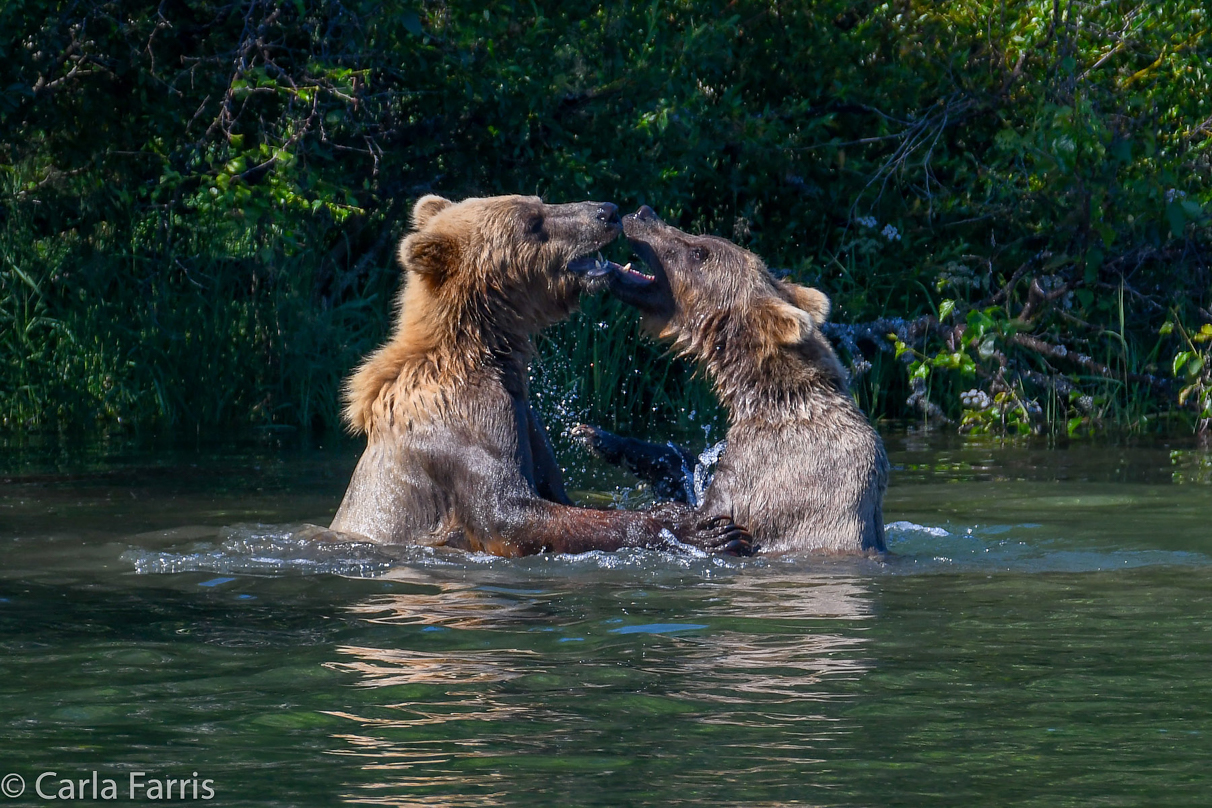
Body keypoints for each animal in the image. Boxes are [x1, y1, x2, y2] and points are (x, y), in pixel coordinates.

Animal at [329, 196, 746, 557]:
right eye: (532, 222)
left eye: (539, 202)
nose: (607, 211)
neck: (482, 347)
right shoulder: (466, 422)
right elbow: (509, 514)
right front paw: (692, 526)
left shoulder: (524, 416)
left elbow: (556, 496)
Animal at [572, 205, 887, 552]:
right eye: (700, 239)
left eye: (699, 251)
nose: (643, 213)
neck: (770, 396)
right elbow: (686, 468)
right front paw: (595, 435)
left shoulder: (771, 471)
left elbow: (716, 510)